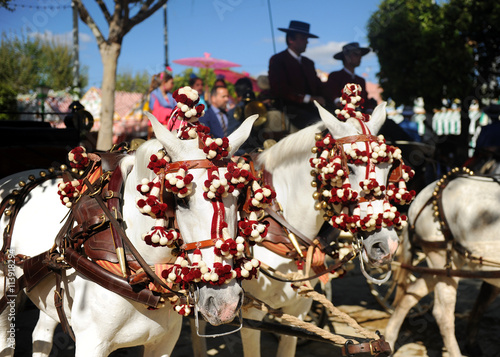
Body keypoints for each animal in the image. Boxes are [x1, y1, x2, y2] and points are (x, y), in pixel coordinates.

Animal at [0, 112, 258, 354]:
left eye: (239, 198)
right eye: (181, 200)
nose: (225, 303)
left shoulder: (164, 342)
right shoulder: (91, 343)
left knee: (41, 335)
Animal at [384, 171, 500, 354]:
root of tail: (421, 199)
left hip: (444, 266)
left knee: (411, 293)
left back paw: (389, 338)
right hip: (442, 260)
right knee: (442, 314)